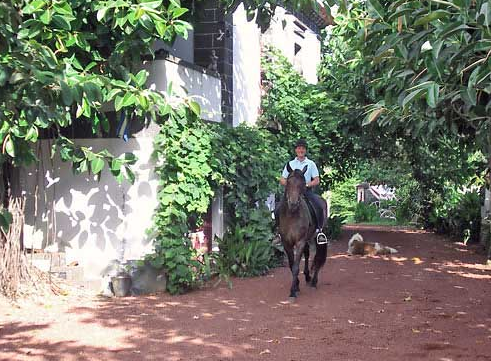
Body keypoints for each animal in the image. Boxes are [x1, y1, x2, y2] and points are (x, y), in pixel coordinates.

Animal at [278, 163, 328, 298]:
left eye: (302, 183)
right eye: (289, 182)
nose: (293, 204)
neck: (292, 215)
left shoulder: (300, 241)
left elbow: (295, 267)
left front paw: (292, 292)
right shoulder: (287, 243)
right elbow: (291, 265)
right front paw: (296, 286)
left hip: (316, 236)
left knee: (317, 256)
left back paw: (314, 281)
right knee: (307, 253)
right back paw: (307, 276)